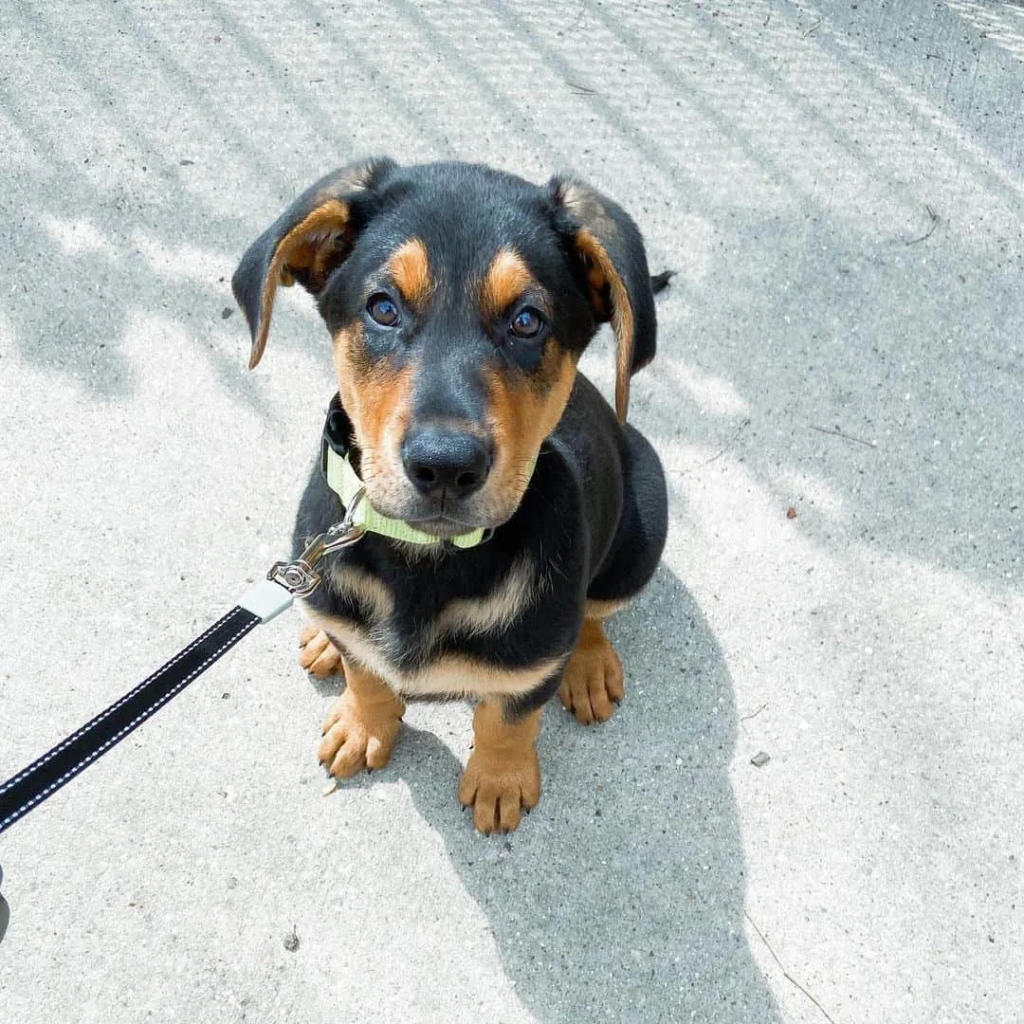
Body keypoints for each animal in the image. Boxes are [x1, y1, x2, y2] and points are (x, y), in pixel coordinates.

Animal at [233, 159, 667, 831]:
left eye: (527, 321)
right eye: (383, 307)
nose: (444, 467)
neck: (426, 556)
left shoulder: (530, 664)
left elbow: (506, 718)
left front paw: (499, 780)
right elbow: (367, 675)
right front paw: (363, 724)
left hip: (644, 525)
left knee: (594, 610)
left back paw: (589, 663)